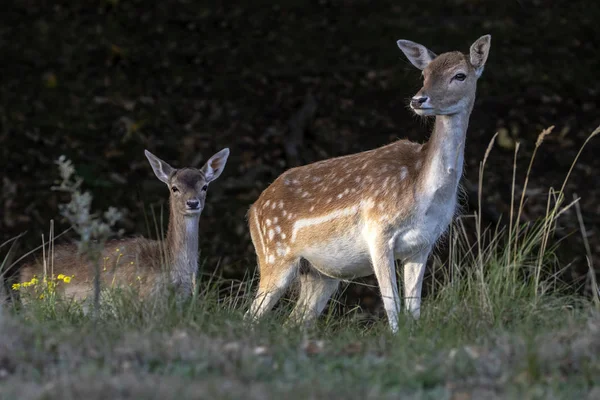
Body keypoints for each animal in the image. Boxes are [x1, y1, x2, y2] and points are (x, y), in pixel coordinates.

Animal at [246, 36, 490, 332]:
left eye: (459, 75)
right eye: (424, 74)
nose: (418, 99)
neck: (425, 194)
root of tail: (253, 210)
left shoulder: (422, 245)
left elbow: (414, 309)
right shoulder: (378, 230)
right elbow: (392, 306)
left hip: (319, 274)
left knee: (293, 321)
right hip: (274, 256)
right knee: (250, 315)